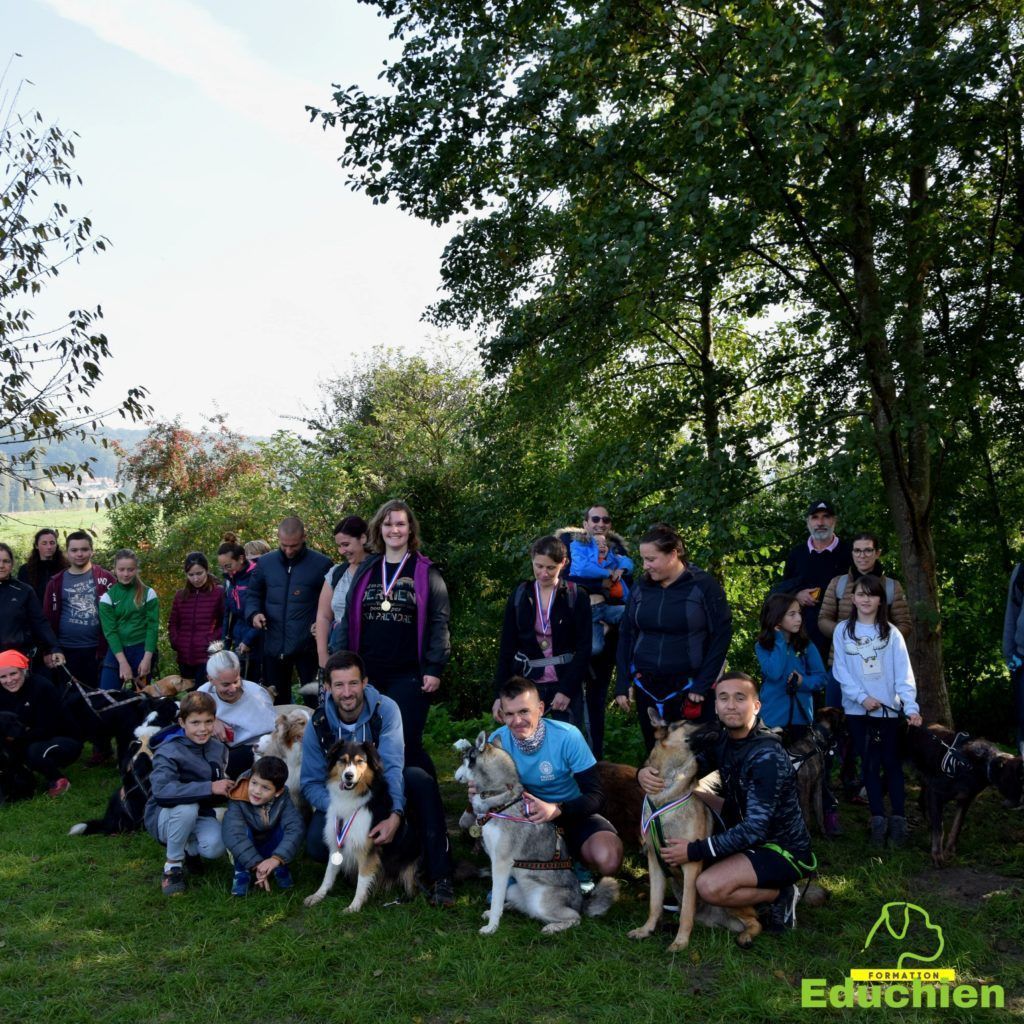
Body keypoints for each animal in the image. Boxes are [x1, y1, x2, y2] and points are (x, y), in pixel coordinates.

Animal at [301, 741, 417, 909]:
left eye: (360, 761)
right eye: (342, 760)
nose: (348, 775)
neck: (352, 796)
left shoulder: (368, 848)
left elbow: (362, 880)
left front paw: (354, 906)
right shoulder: (336, 843)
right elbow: (329, 873)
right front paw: (318, 895)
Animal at [454, 729, 614, 937]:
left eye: (464, 759)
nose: (454, 774)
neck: (500, 797)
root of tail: (580, 903)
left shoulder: (501, 863)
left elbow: (496, 899)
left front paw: (491, 927)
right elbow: (498, 899)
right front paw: (493, 916)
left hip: (541, 902)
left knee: (575, 918)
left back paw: (552, 927)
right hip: (515, 890)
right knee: (523, 907)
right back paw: (512, 907)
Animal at [622, 712, 761, 950]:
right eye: (688, 721)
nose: (719, 720)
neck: (668, 794)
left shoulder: (690, 866)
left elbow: (687, 909)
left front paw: (680, 942)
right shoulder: (654, 862)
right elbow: (655, 903)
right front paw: (647, 929)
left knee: (755, 921)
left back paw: (746, 936)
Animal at [905, 724, 1024, 868]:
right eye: (1019, 779)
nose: (1020, 802)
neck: (974, 766)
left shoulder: (965, 800)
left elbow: (957, 826)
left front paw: (949, 852)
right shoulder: (936, 792)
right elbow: (939, 829)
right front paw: (937, 855)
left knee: (921, 801)